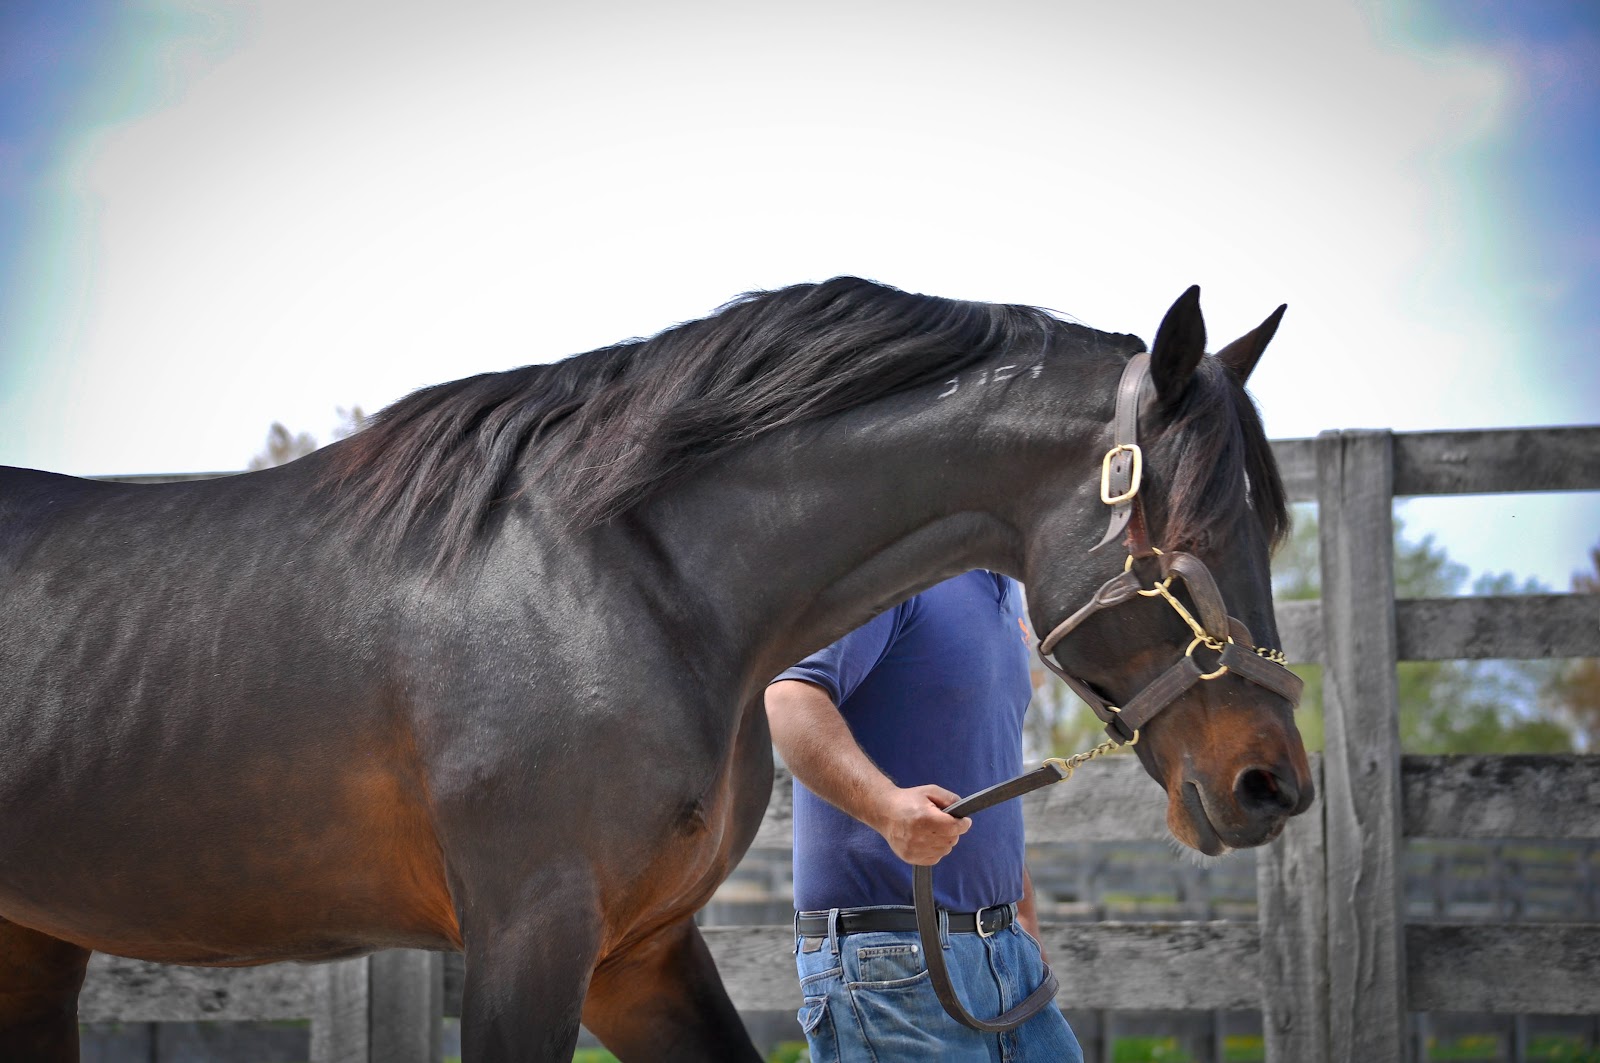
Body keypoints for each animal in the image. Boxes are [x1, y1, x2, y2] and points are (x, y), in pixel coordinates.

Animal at [0, 277, 1312, 1061]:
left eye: (1265, 522)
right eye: (1187, 536)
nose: (1275, 784)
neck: (625, 582)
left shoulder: (639, 951)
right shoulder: (528, 935)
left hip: (35, 939)